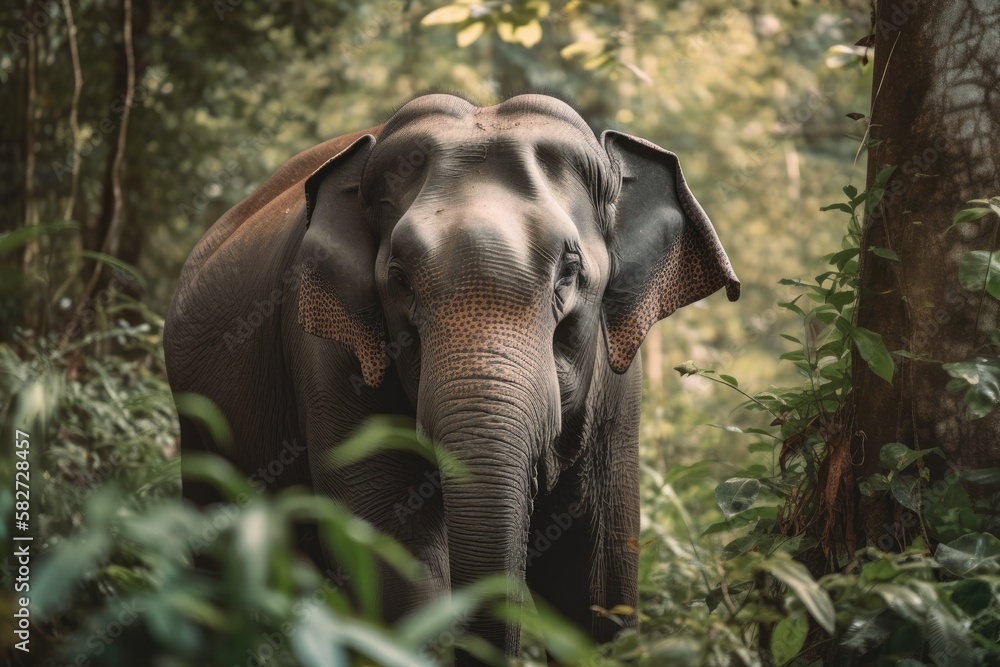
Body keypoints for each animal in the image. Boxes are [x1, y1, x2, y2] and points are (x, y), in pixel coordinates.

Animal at [164, 93, 739, 662]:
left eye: (569, 274)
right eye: (399, 279)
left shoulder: (616, 386)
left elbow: (594, 580)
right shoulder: (328, 355)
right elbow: (392, 562)